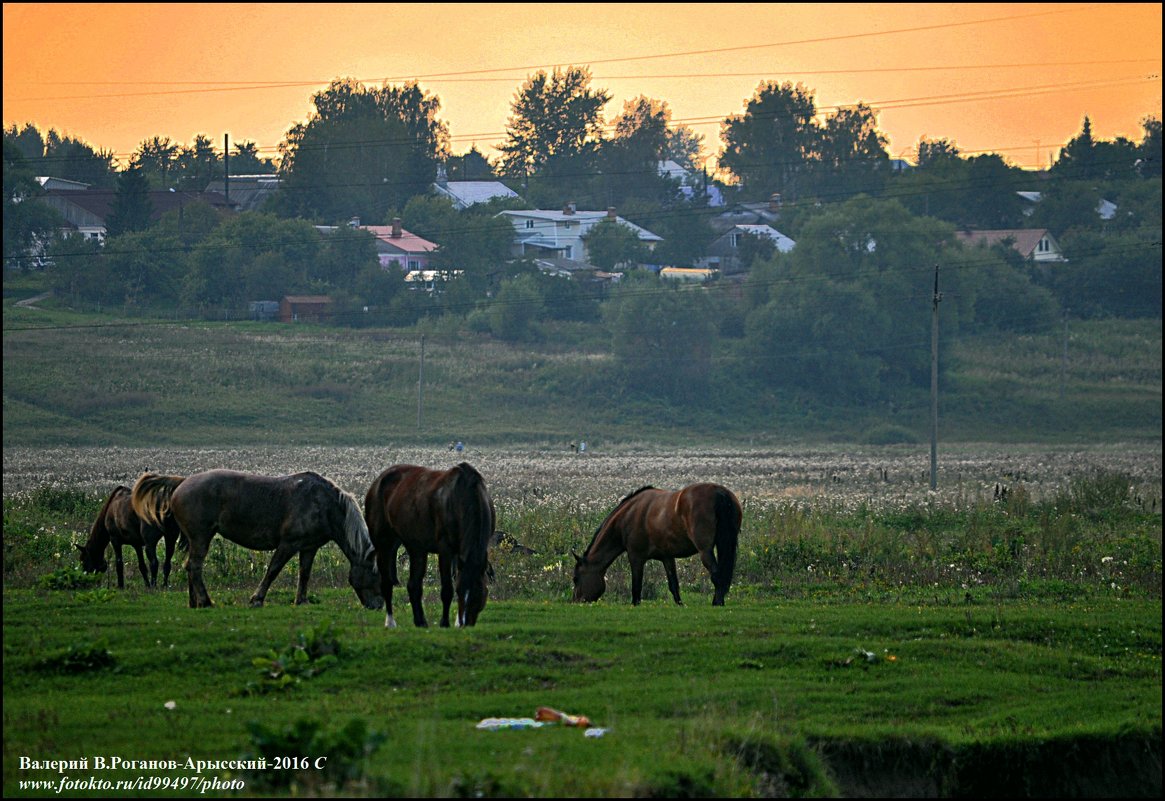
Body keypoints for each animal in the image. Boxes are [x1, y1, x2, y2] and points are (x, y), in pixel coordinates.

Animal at [132, 470, 379, 605]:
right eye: (376, 575)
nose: (377, 606)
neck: (323, 504)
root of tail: (182, 482)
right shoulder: (288, 544)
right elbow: (273, 571)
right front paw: (257, 598)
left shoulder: (309, 548)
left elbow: (305, 574)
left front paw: (301, 600)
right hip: (201, 537)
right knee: (194, 566)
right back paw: (205, 601)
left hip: (197, 539)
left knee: (191, 566)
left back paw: (195, 602)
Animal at [361, 463, 493, 624]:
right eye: (460, 591)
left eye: (480, 592)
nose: (464, 623)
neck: (462, 496)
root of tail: (377, 482)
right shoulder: (445, 551)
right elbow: (446, 590)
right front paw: (445, 623)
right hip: (384, 545)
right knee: (386, 583)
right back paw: (390, 622)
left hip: (415, 548)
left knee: (413, 585)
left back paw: (420, 622)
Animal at [570, 481, 740, 605]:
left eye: (576, 578)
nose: (576, 601)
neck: (627, 517)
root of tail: (718, 492)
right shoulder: (667, 557)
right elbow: (673, 585)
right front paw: (680, 605)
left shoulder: (636, 557)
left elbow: (636, 587)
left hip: (705, 550)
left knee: (717, 575)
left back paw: (717, 603)